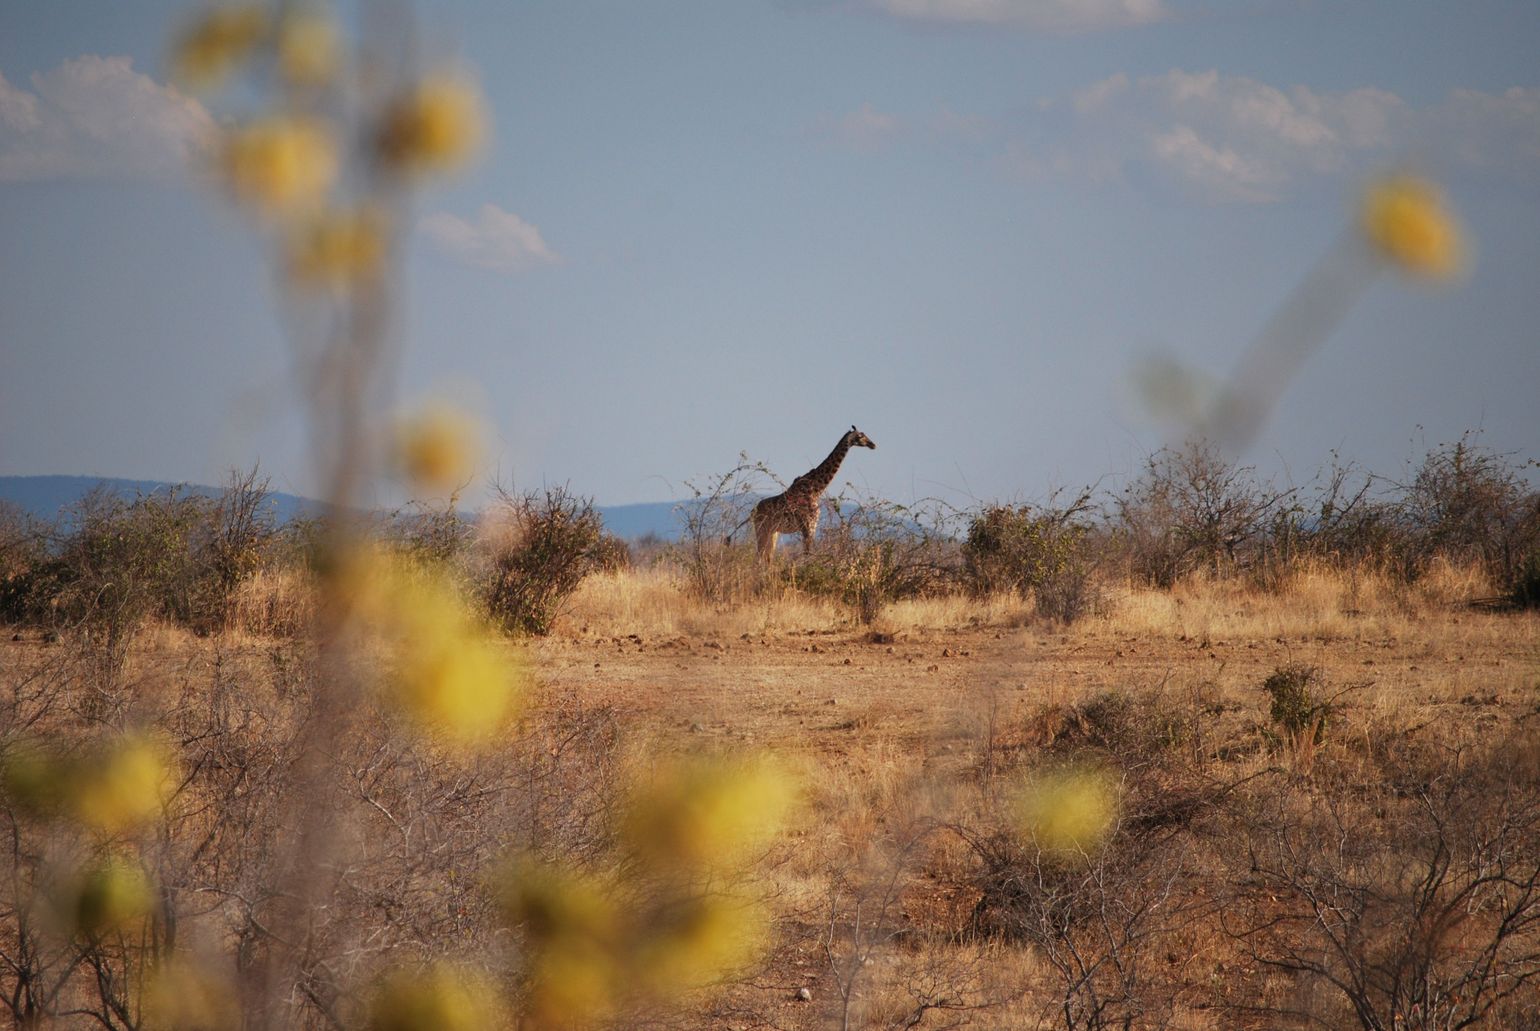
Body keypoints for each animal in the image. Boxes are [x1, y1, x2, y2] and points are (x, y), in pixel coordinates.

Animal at [751, 425, 876, 561]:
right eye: (861, 436)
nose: (873, 444)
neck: (816, 489)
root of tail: (753, 511)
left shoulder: (813, 526)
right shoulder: (807, 526)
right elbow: (808, 555)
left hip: (774, 532)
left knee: (767, 557)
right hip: (762, 529)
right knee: (759, 556)